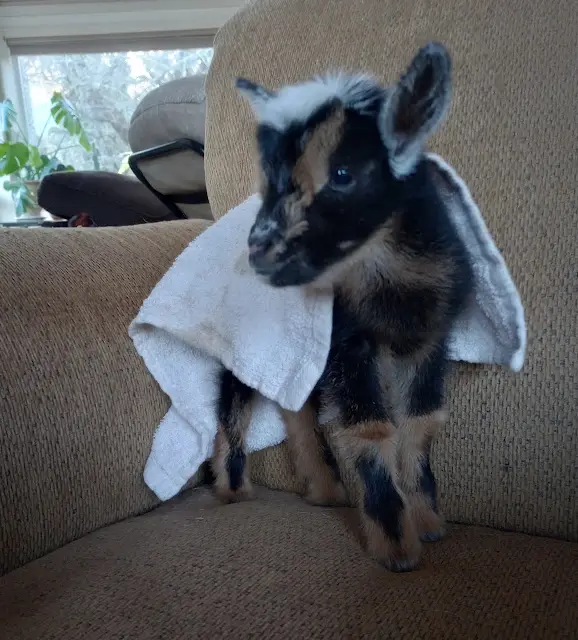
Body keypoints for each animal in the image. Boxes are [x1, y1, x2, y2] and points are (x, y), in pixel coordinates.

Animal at [211, 42, 474, 572]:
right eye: (268, 182)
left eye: (343, 174)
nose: (259, 252)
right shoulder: (347, 346)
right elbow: (371, 429)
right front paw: (396, 548)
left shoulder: (429, 341)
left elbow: (420, 423)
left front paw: (429, 523)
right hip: (243, 349)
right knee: (232, 403)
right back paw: (232, 490)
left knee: (296, 409)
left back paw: (325, 491)